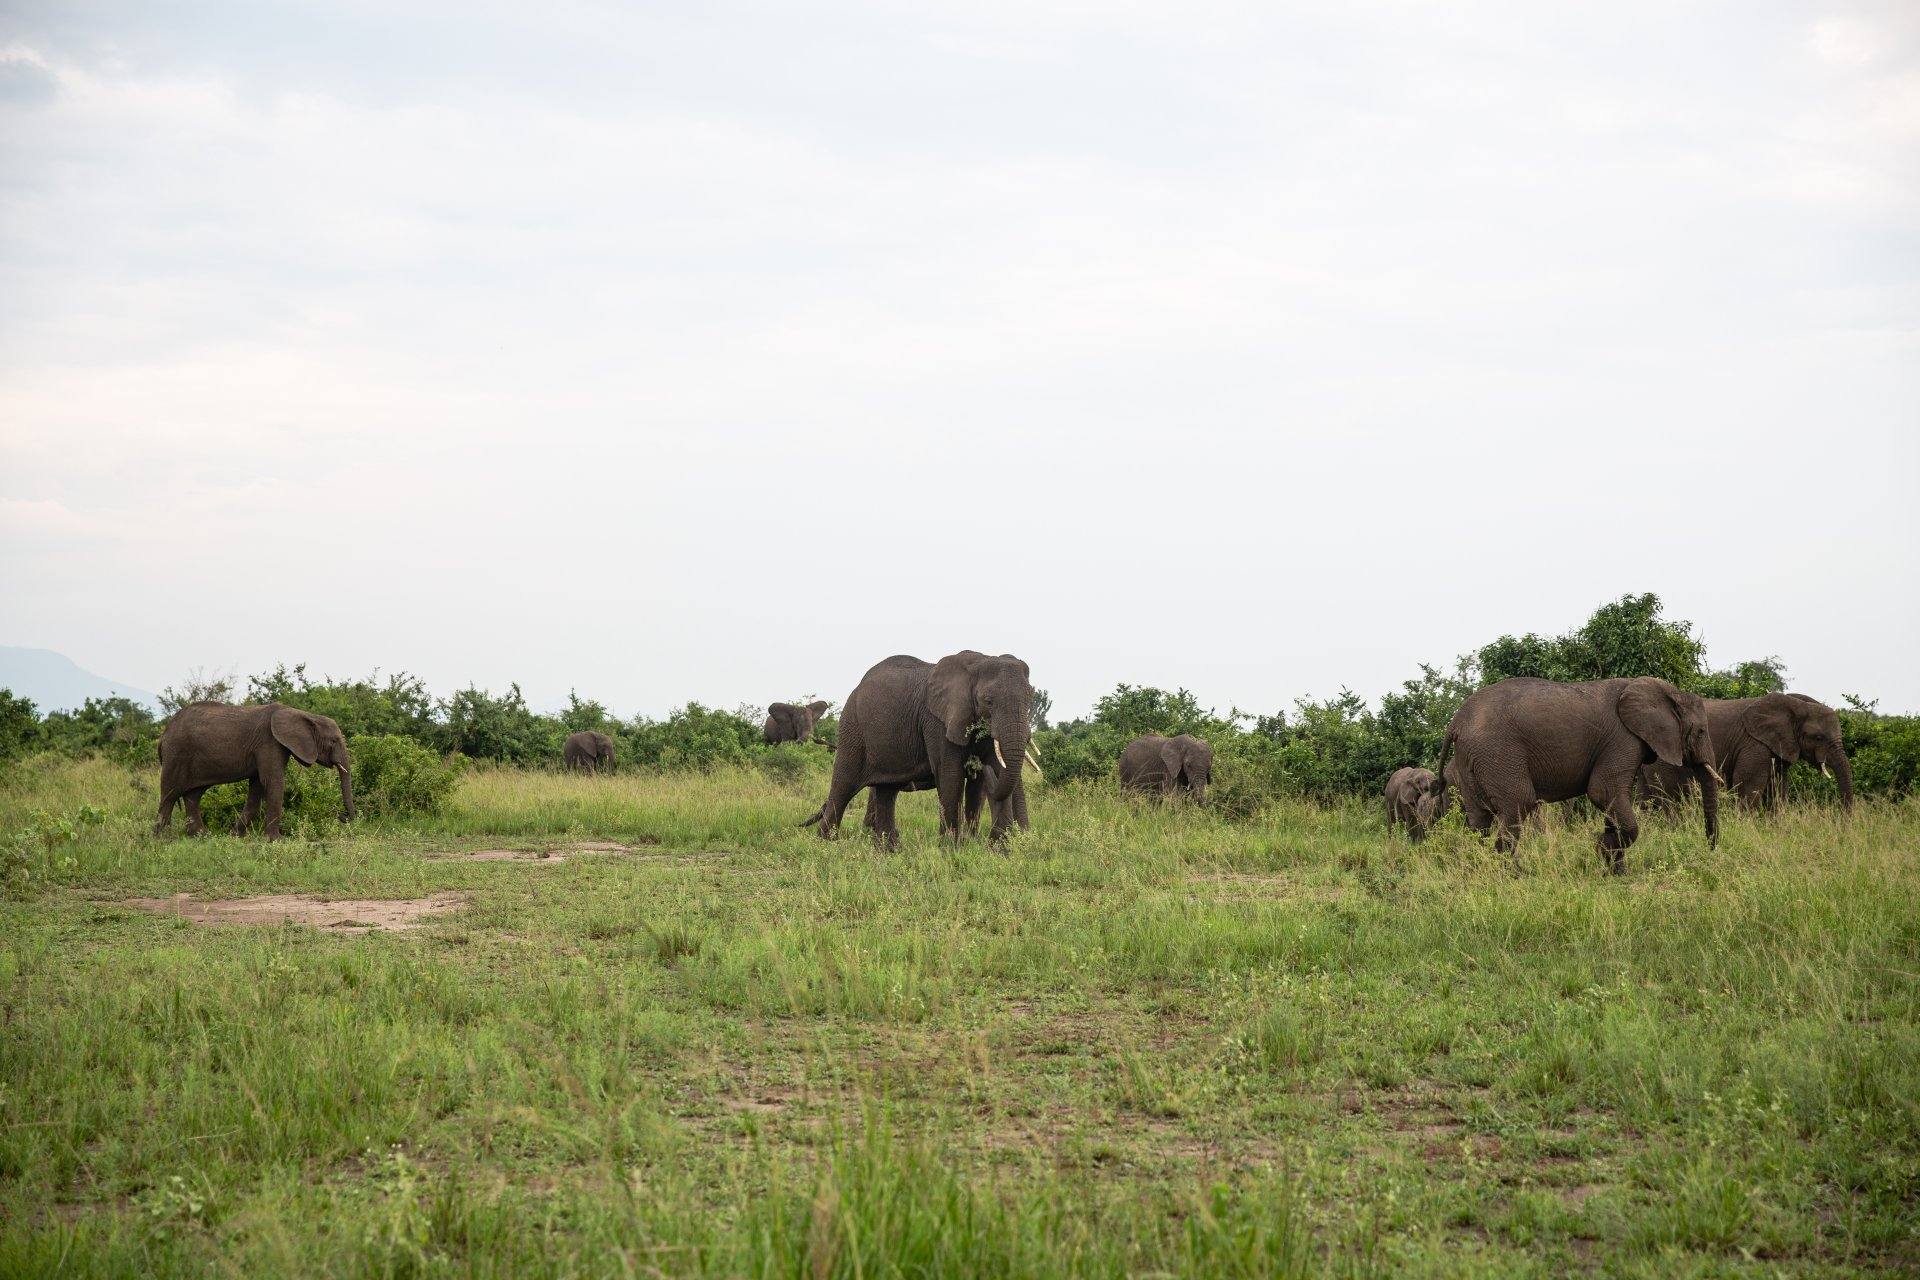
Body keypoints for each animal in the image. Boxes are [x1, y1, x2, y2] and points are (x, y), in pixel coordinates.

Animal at [156, 702, 353, 840]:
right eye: (334, 741)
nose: (342, 816)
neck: (302, 713)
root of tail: (163, 735)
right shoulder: (269, 742)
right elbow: (273, 782)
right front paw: (277, 840)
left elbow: (258, 786)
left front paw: (236, 836)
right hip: (176, 753)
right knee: (169, 794)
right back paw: (162, 839)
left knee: (193, 796)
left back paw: (203, 836)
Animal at [803, 650, 1040, 847]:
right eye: (988, 701)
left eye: (1031, 699)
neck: (978, 661)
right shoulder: (936, 721)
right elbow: (950, 775)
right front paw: (951, 849)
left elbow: (983, 781)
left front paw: (983, 846)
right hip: (852, 728)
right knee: (843, 785)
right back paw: (825, 845)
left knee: (886, 790)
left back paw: (888, 850)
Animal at [1438, 676, 1720, 871]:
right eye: (1701, 732)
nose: (1710, 850)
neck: (1665, 690)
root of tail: (1454, 723)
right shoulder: (1623, 740)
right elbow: (1604, 792)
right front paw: (1602, 848)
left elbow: (1612, 802)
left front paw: (1615, 869)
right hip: (1497, 752)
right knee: (1518, 803)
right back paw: (1513, 875)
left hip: (1470, 759)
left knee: (1479, 819)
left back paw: (1480, 869)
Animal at [1641, 692, 1852, 811]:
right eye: (1819, 737)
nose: (1844, 820)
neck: (1795, 704)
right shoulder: (1754, 744)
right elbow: (1747, 786)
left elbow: (1777, 789)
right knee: (1669, 796)